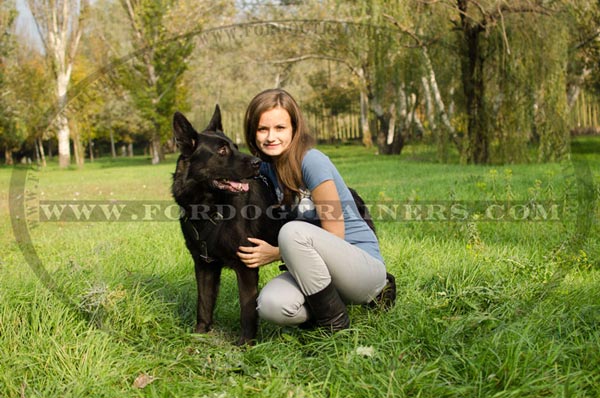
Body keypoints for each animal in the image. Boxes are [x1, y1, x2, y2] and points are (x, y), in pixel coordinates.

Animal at [171, 106, 278, 346]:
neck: (210, 210)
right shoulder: (204, 265)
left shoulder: (246, 267)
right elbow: (203, 304)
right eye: (221, 151)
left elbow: (247, 310)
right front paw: (200, 334)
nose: (257, 163)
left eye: (236, 147)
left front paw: (245, 344)